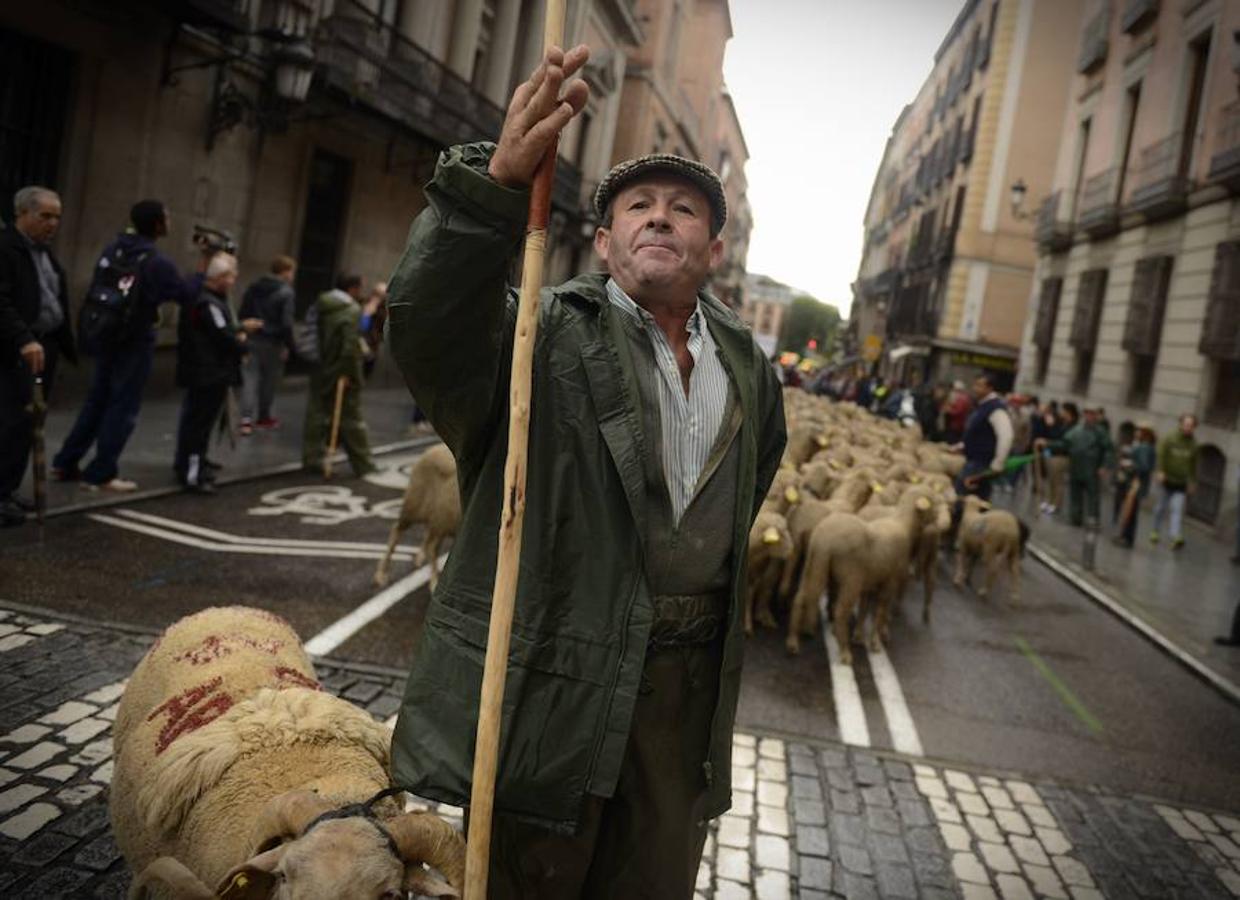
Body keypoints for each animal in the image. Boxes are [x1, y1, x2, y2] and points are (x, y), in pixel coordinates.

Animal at [374, 446, 463, 592]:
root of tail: (430, 450)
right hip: (414, 506)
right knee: (397, 530)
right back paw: (381, 575)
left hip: (441, 518)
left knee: (431, 543)